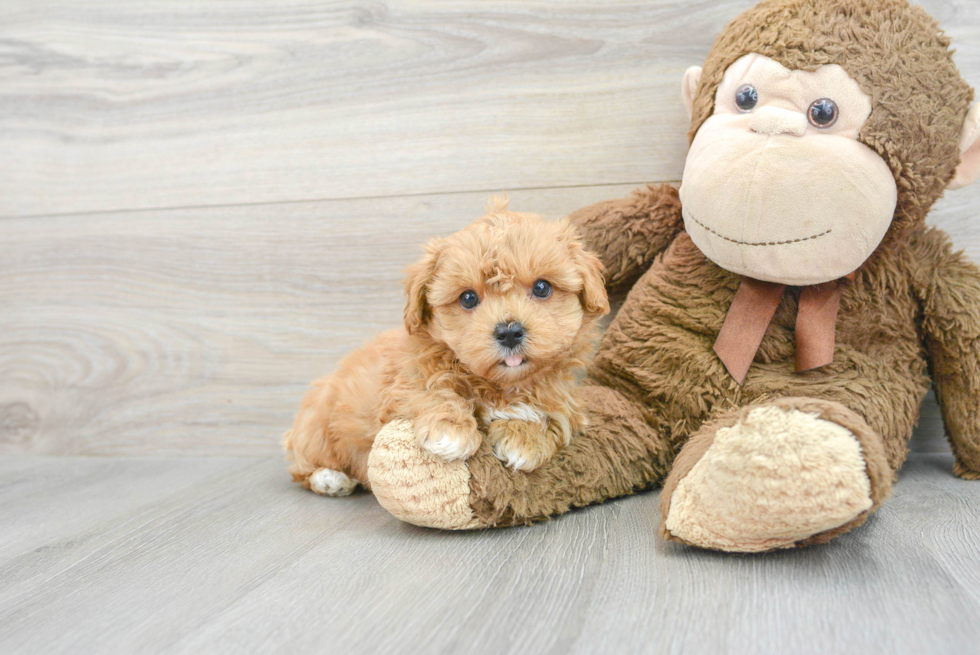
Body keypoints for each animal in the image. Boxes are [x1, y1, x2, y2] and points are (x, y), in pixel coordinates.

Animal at [280, 199, 608, 498]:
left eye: (542, 288)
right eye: (468, 298)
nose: (509, 332)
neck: (498, 386)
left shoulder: (563, 399)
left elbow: (553, 418)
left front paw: (524, 439)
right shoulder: (402, 386)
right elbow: (433, 392)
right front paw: (450, 429)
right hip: (316, 429)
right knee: (302, 467)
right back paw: (330, 479)